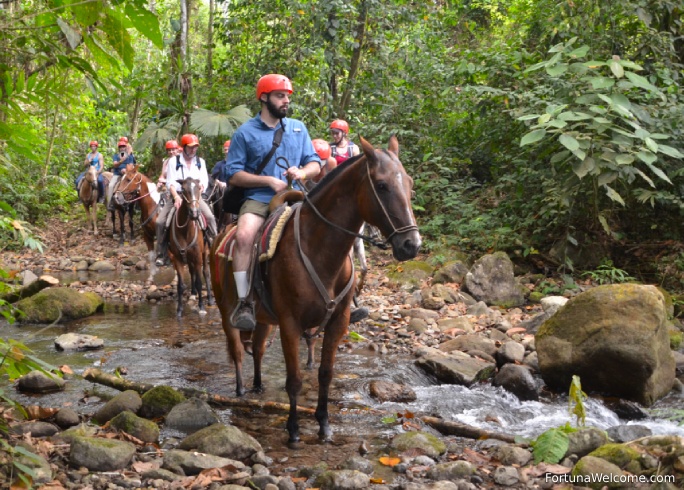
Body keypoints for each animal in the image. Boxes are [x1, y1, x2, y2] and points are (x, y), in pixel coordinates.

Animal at [169, 178, 214, 316]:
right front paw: (179, 310)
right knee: (191, 271)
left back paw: (210, 299)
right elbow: (180, 285)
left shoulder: (198, 256)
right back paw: (193, 294)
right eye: (183, 190)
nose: (194, 213)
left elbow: (200, 281)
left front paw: (201, 306)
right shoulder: (177, 258)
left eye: (199, 188)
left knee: (206, 273)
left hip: (205, 252)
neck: (185, 231)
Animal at [210, 135, 422, 444]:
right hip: (226, 310)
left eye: (409, 182)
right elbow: (295, 379)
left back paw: (258, 386)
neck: (319, 251)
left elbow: (325, 374)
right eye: (382, 185)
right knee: (237, 350)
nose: (411, 245)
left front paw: (324, 425)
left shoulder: (337, 321)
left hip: (264, 319)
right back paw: (239, 391)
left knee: (258, 349)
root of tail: (222, 234)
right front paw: (294, 430)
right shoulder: (289, 323)